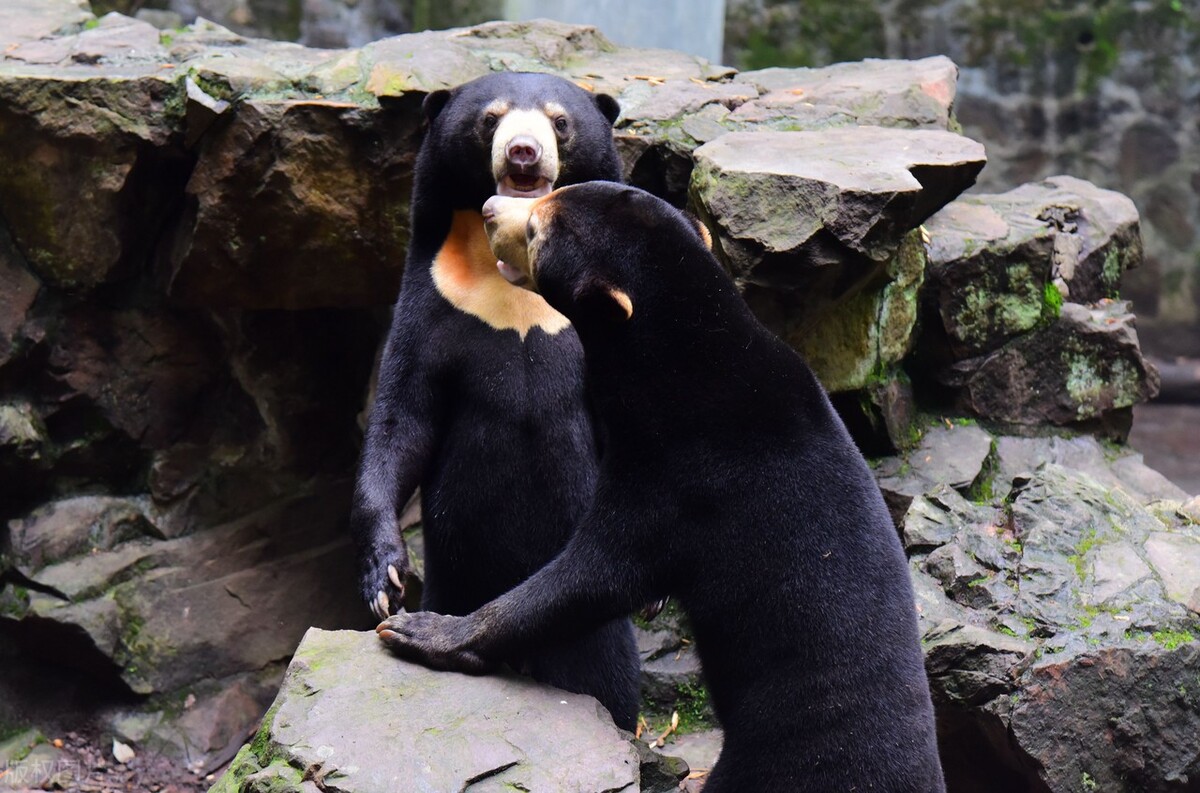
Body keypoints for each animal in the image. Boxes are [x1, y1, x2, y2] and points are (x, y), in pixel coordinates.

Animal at [350, 74, 640, 731]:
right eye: (491, 119)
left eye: (560, 121)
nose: (523, 154)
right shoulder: (433, 306)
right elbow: (402, 422)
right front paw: (385, 579)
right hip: (460, 576)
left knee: (606, 671)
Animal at [376, 182, 946, 792]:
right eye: (549, 197)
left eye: (536, 231)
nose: (487, 208)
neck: (692, 360)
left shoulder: (684, 482)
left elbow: (588, 579)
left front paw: (422, 630)